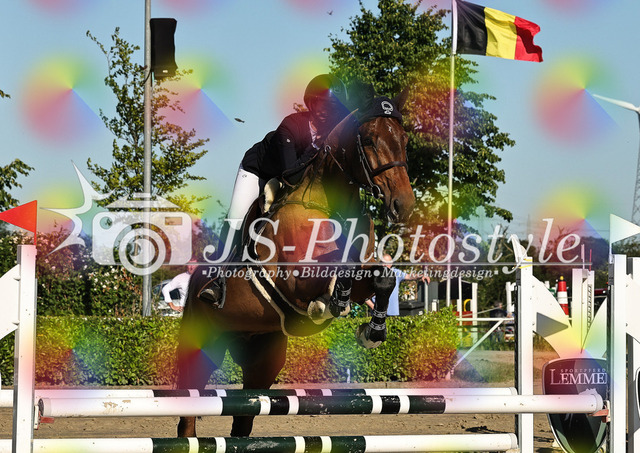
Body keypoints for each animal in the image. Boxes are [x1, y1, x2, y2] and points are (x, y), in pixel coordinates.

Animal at [176, 90, 415, 438]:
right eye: (370, 139)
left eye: (405, 140)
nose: (404, 205)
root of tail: (195, 281)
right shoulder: (296, 280)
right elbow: (334, 273)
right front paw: (331, 303)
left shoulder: (365, 272)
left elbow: (383, 278)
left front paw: (371, 332)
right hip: (203, 341)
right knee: (189, 407)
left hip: (263, 355)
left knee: (244, 417)